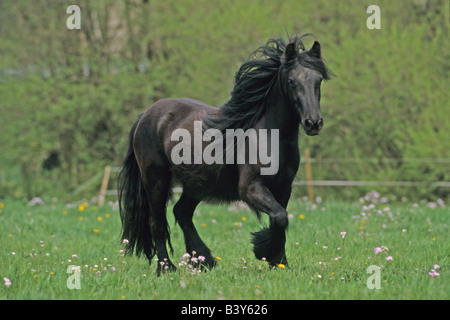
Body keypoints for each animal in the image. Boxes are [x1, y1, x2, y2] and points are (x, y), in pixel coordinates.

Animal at [118, 35, 332, 276]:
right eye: (292, 81)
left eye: (319, 80)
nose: (313, 123)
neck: (270, 135)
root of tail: (145, 115)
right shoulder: (250, 188)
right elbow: (279, 218)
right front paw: (264, 251)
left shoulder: (283, 188)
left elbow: (280, 220)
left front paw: (279, 261)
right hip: (156, 180)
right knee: (157, 223)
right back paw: (166, 268)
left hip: (197, 184)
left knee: (182, 213)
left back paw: (202, 260)